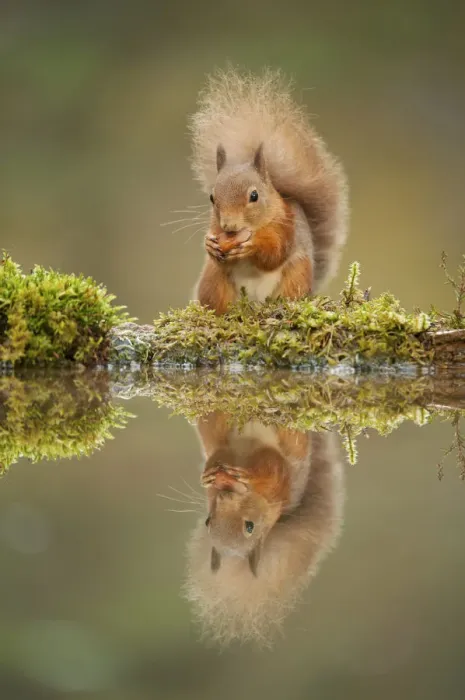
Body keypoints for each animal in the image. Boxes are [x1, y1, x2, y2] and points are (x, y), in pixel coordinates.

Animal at [183, 413, 344, 645]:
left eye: (250, 526)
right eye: (207, 521)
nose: (226, 494)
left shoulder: (279, 484)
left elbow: (272, 469)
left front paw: (249, 476)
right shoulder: (217, 443)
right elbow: (216, 447)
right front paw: (209, 475)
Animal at [189, 67, 349, 314]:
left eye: (254, 196)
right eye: (212, 198)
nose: (228, 226)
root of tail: (254, 304)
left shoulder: (285, 226)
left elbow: (274, 253)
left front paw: (253, 246)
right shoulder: (215, 227)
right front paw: (210, 245)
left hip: (296, 275)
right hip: (213, 280)